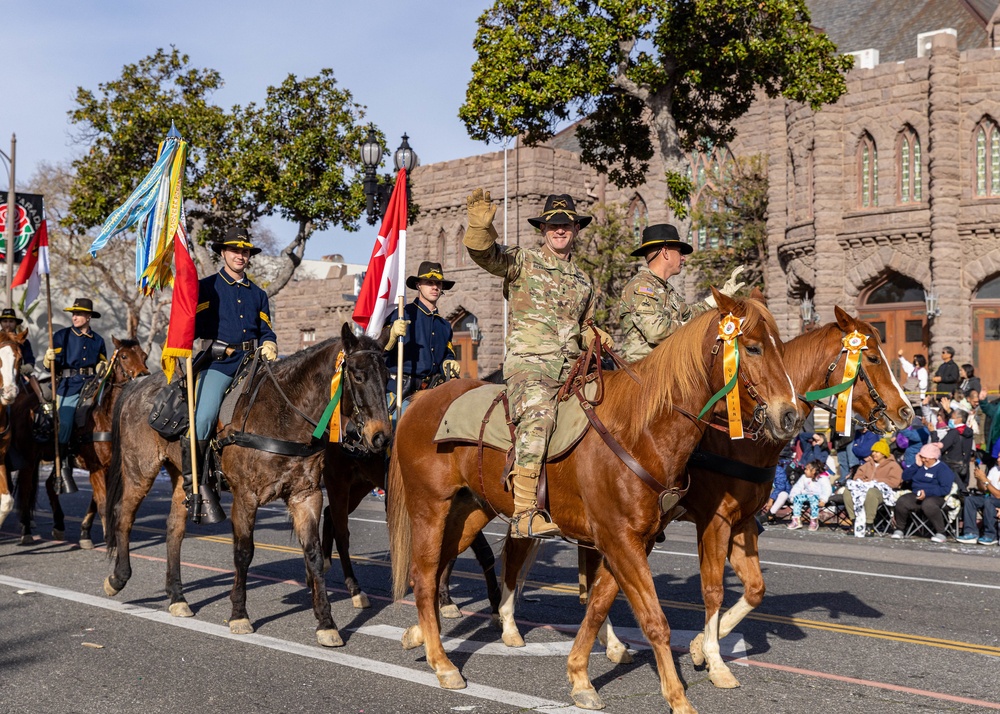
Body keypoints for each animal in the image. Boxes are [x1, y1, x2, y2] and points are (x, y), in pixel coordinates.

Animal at [101, 322, 390, 644]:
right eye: (358, 375)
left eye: (387, 376)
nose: (381, 437)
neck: (283, 415)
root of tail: (138, 385)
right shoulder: (245, 497)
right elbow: (243, 552)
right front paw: (239, 614)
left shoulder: (306, 495)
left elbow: (313, 554)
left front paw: (326, 623)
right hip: (140, 470)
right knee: (123, 515)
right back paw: (117, 578)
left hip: (180, 478)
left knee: (174, 530)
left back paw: (177, 597)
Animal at [386, 290, 800, 712]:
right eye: (752, 347)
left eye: (781, 348)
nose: (790, 416)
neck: (641, 430)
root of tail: (422, 399)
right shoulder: (630, 536)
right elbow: (654, 619)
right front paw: (679, 694)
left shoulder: (635, 539)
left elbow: (599, 602)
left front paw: (581, 676)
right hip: (429, 507)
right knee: (424, 575)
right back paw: (443, 663)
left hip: (469, 512)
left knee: (448, 566)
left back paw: (421, 635)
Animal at [492, 304, 916, 688]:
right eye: (872, 357)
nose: (907, 412)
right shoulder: (714, 520)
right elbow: (712, 590)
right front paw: (713, 660)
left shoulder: (744, 521)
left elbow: (755, 590)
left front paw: (698, 647)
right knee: (524, 557)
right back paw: (513, 625)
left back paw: (607, 644)